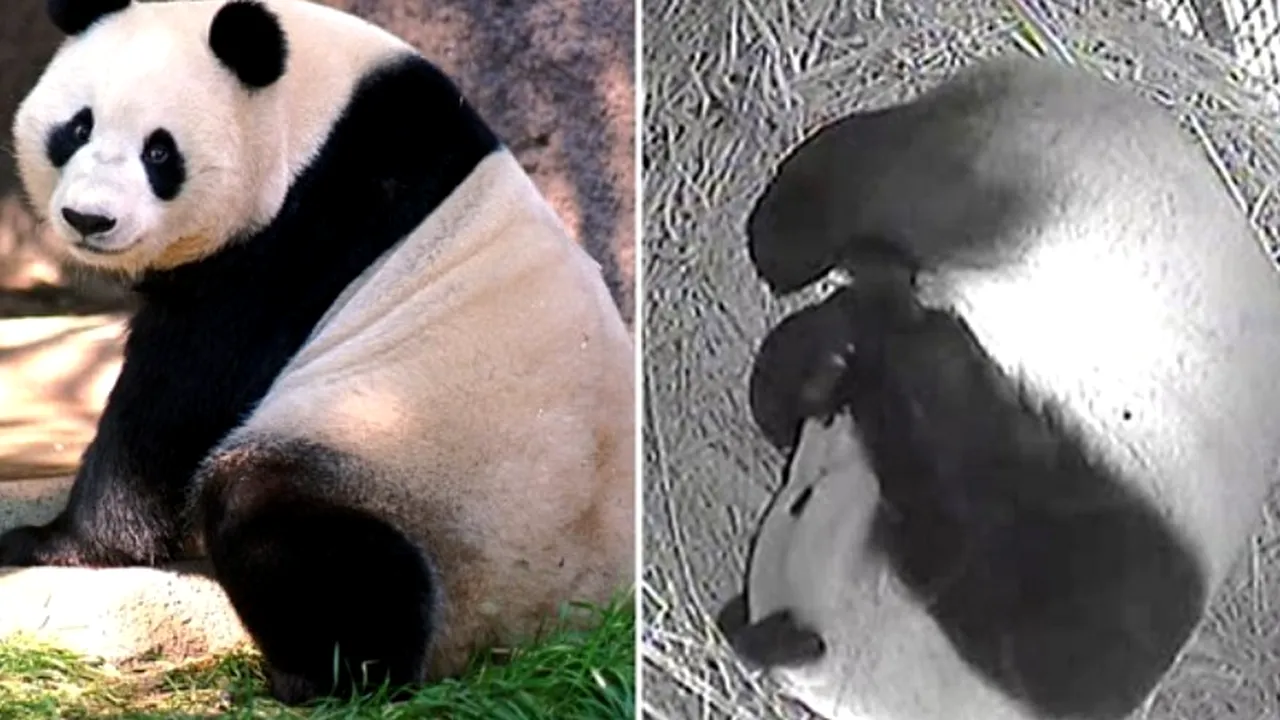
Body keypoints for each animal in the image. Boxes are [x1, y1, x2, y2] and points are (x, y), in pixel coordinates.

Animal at [2, 0, 635, 706]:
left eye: (160, 152)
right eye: (77, 126)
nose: (89, 219)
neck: (312, 112)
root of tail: (553, 629)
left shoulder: (302, 236)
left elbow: (175, 405)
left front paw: (51, 542)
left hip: (426, 483)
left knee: (289, 527)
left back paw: (319, 673)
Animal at [720, 57, 1280, 720]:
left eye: (802, 497)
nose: (825, 424)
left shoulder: (1077, 578)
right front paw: (820, 374)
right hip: (1021, 171)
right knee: (881, 178)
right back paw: (789, 241)